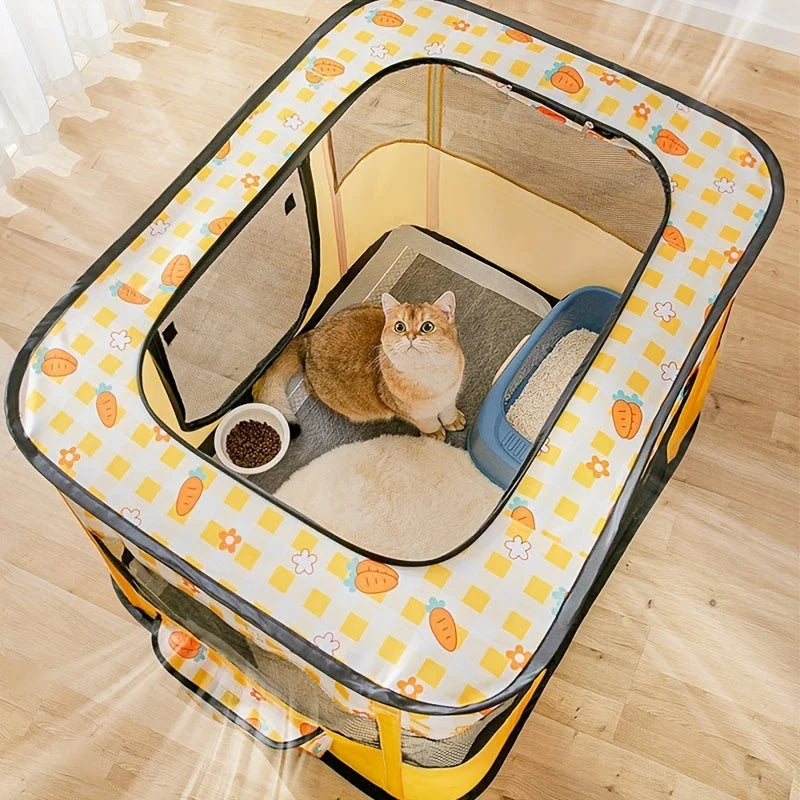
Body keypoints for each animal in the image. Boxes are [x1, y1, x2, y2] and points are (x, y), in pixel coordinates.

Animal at [253, 290, 466, 438]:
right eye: (400, 327)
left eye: (427, 327)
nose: (411, 337)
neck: (428, 375)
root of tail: (309, 336)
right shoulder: (411, 413)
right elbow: (428, 423)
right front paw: (434, 433)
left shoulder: (449, 396)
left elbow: (448, 411)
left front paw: (453, 421)